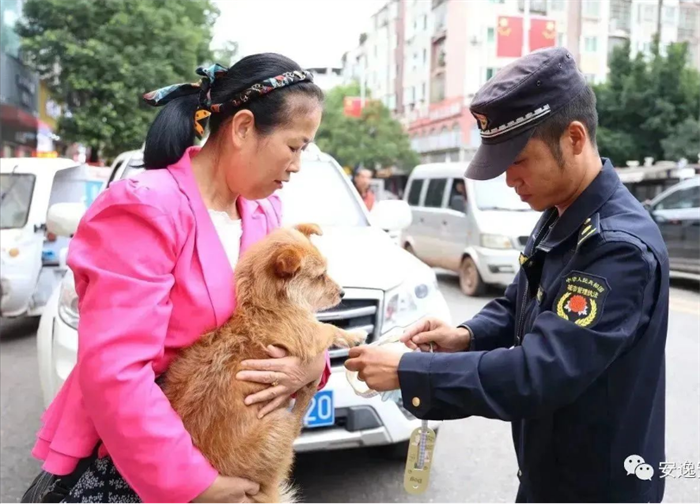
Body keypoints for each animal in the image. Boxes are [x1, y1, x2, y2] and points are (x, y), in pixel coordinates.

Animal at [163, 225, 366, 504]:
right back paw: (306, 394)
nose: (343, 292)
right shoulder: (309, 334)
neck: (264, 305)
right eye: (320, 276)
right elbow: (329, 328)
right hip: (277, 427)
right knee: (294, 424)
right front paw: (352, 336)